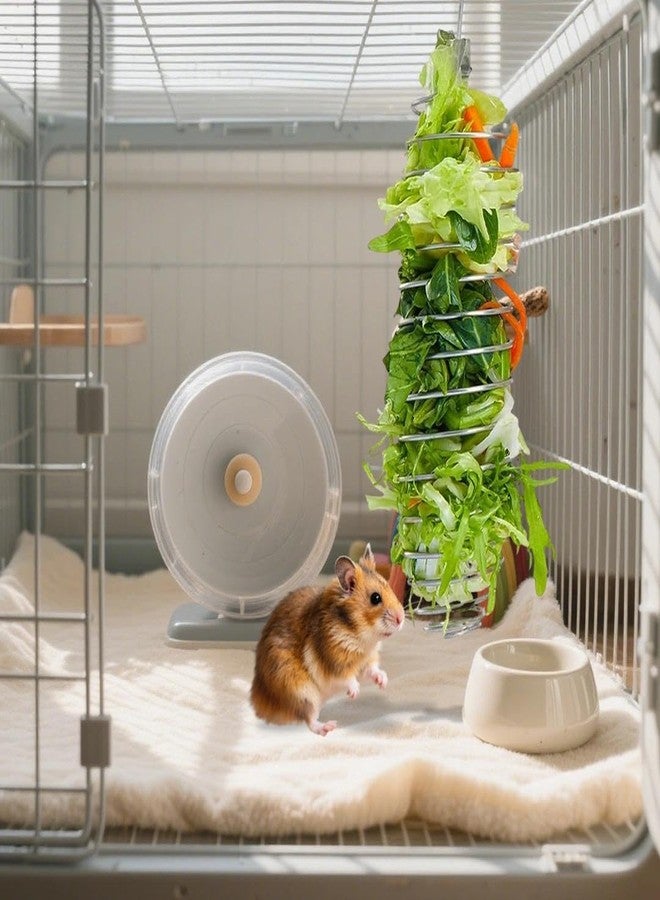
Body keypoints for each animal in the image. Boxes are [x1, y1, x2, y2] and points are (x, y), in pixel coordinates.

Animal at [250, 544, 404, 736]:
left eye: (390, 588)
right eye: (375, 598)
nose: (401, 619)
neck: (360, 636)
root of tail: (261, 703)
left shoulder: (368, 659)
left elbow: (373, 669)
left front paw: (383, 682)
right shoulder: (333, 662)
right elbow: (346, 677)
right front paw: (354, 693)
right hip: (301, 690)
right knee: (309, 719)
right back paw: (328, 727)